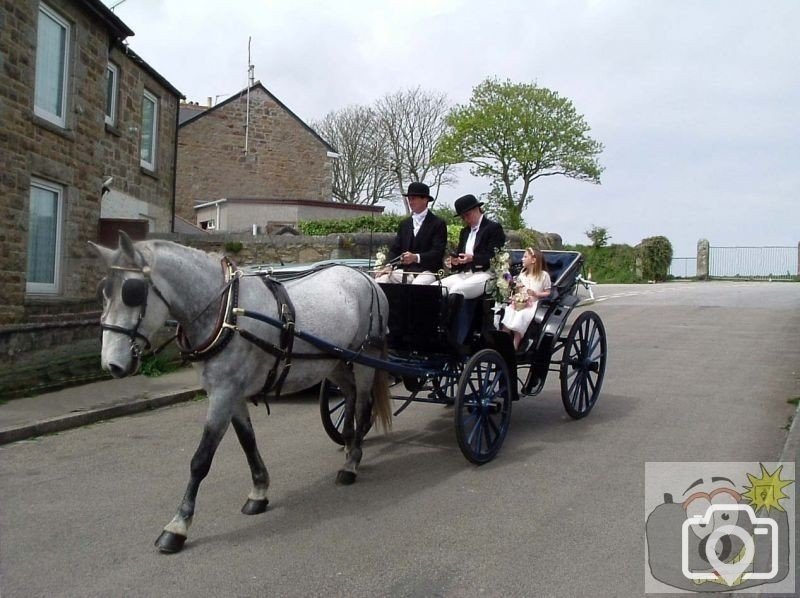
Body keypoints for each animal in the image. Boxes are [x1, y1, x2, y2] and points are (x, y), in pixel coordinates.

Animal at [90, 233, 390, 552]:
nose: (111, 364)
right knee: (349, 394)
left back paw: (351, 462)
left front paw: (178, 525)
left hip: (364, 359)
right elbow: (247, 441)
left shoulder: (224, 393)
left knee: (363, 403)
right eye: (103, 293)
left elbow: (200, 460)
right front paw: (259, 491)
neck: (226, 311)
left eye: (132, 293)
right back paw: (348, 443)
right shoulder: (230, 393)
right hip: (332, 362)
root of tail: (365, 277)